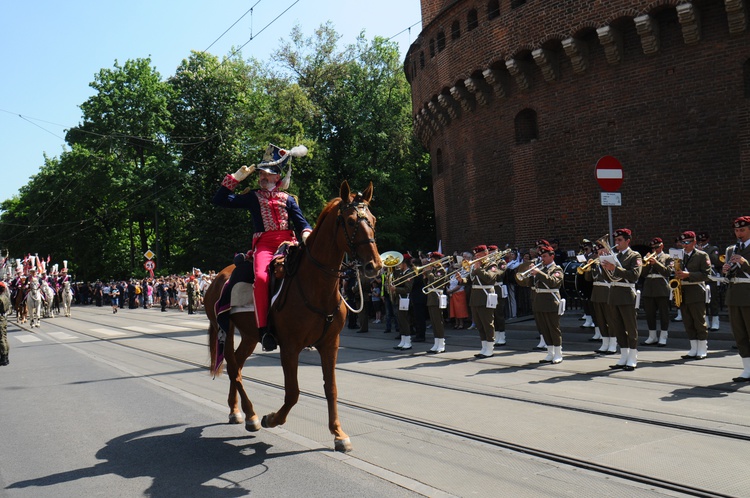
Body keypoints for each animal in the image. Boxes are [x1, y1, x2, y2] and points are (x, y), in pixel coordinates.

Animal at [207, 182, 378, 452]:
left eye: (373, 220)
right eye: (351, 221)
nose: (375, 265)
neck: (316, 286)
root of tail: (218, 278)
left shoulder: (330, 344)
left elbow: (331, 389)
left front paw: (338, 434)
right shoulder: (289, 347)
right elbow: (293, 392)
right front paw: (272, 418)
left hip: (249, 335)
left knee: (238, 365)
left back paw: (236, 411)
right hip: (225, 328)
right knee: (234, 368)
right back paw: (252, 415)